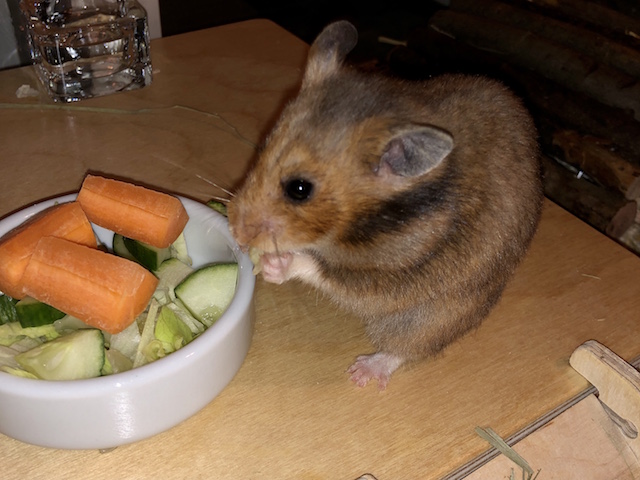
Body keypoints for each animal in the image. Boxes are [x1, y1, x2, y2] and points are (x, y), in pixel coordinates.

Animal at [228, 21, 544, 390]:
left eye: (299, 189)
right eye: (264, 145)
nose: (235, 231)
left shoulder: (396, 274)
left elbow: (324, 272)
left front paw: (275, 265)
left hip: (433, 316)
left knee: (406, 346)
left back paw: (362, 373)